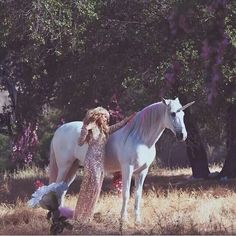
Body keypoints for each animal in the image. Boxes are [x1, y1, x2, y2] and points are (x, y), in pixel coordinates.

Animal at [48, 97, 194, 223]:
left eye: (183, 114)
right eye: (172, 114)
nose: (182, 135)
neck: (140, 138)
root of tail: (60, 129)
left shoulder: (142, 171)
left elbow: (138, 195)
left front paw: (137, 220)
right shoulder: (127, 169)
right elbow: (126, 193)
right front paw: (123, 219)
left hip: (73, 168)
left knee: (62, 190)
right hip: (64, 166)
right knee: (56, 188)